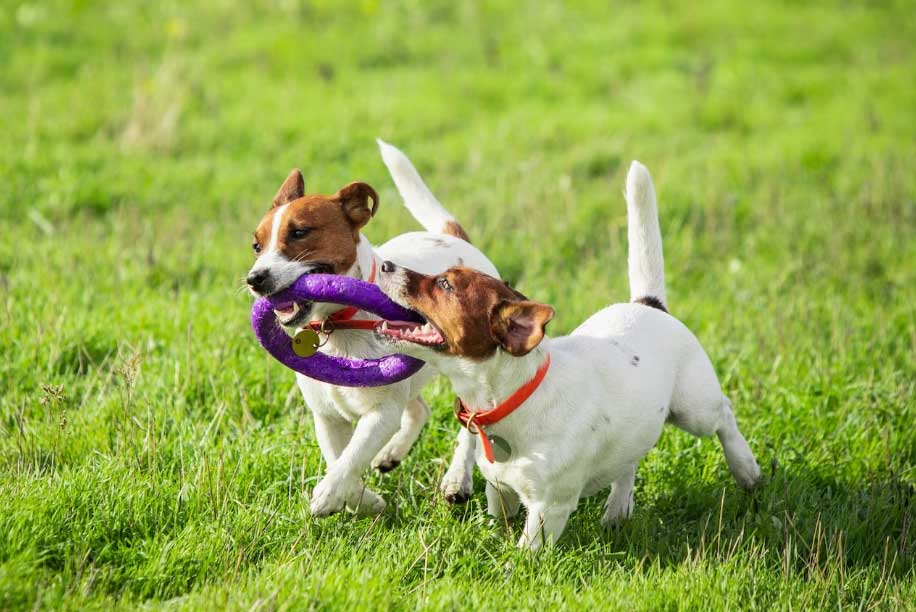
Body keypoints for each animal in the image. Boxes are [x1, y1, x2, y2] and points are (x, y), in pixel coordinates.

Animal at [247, 142, 498, 516]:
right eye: (256, 246)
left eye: (300, 232)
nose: (254, 279)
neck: (338, 325)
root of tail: (452, 238)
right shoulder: (327, 417)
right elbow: (339, 458)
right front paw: (364, 500)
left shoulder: (380, 413)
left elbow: (350, 458)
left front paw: (329, 494)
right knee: (419, 409)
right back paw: (391, 454)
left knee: (469, 426)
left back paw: (457, 479)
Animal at [376, 160, 764, 548]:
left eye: (445, 285)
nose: (384, 265)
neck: (514, 398)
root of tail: (649, 304)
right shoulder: (501, 490)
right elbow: (501, 519)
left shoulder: (548, 509)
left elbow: (525, 550)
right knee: (629, 461)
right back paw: (618, 509)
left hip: (694, 408)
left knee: (724, 413)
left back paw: (746, 468)